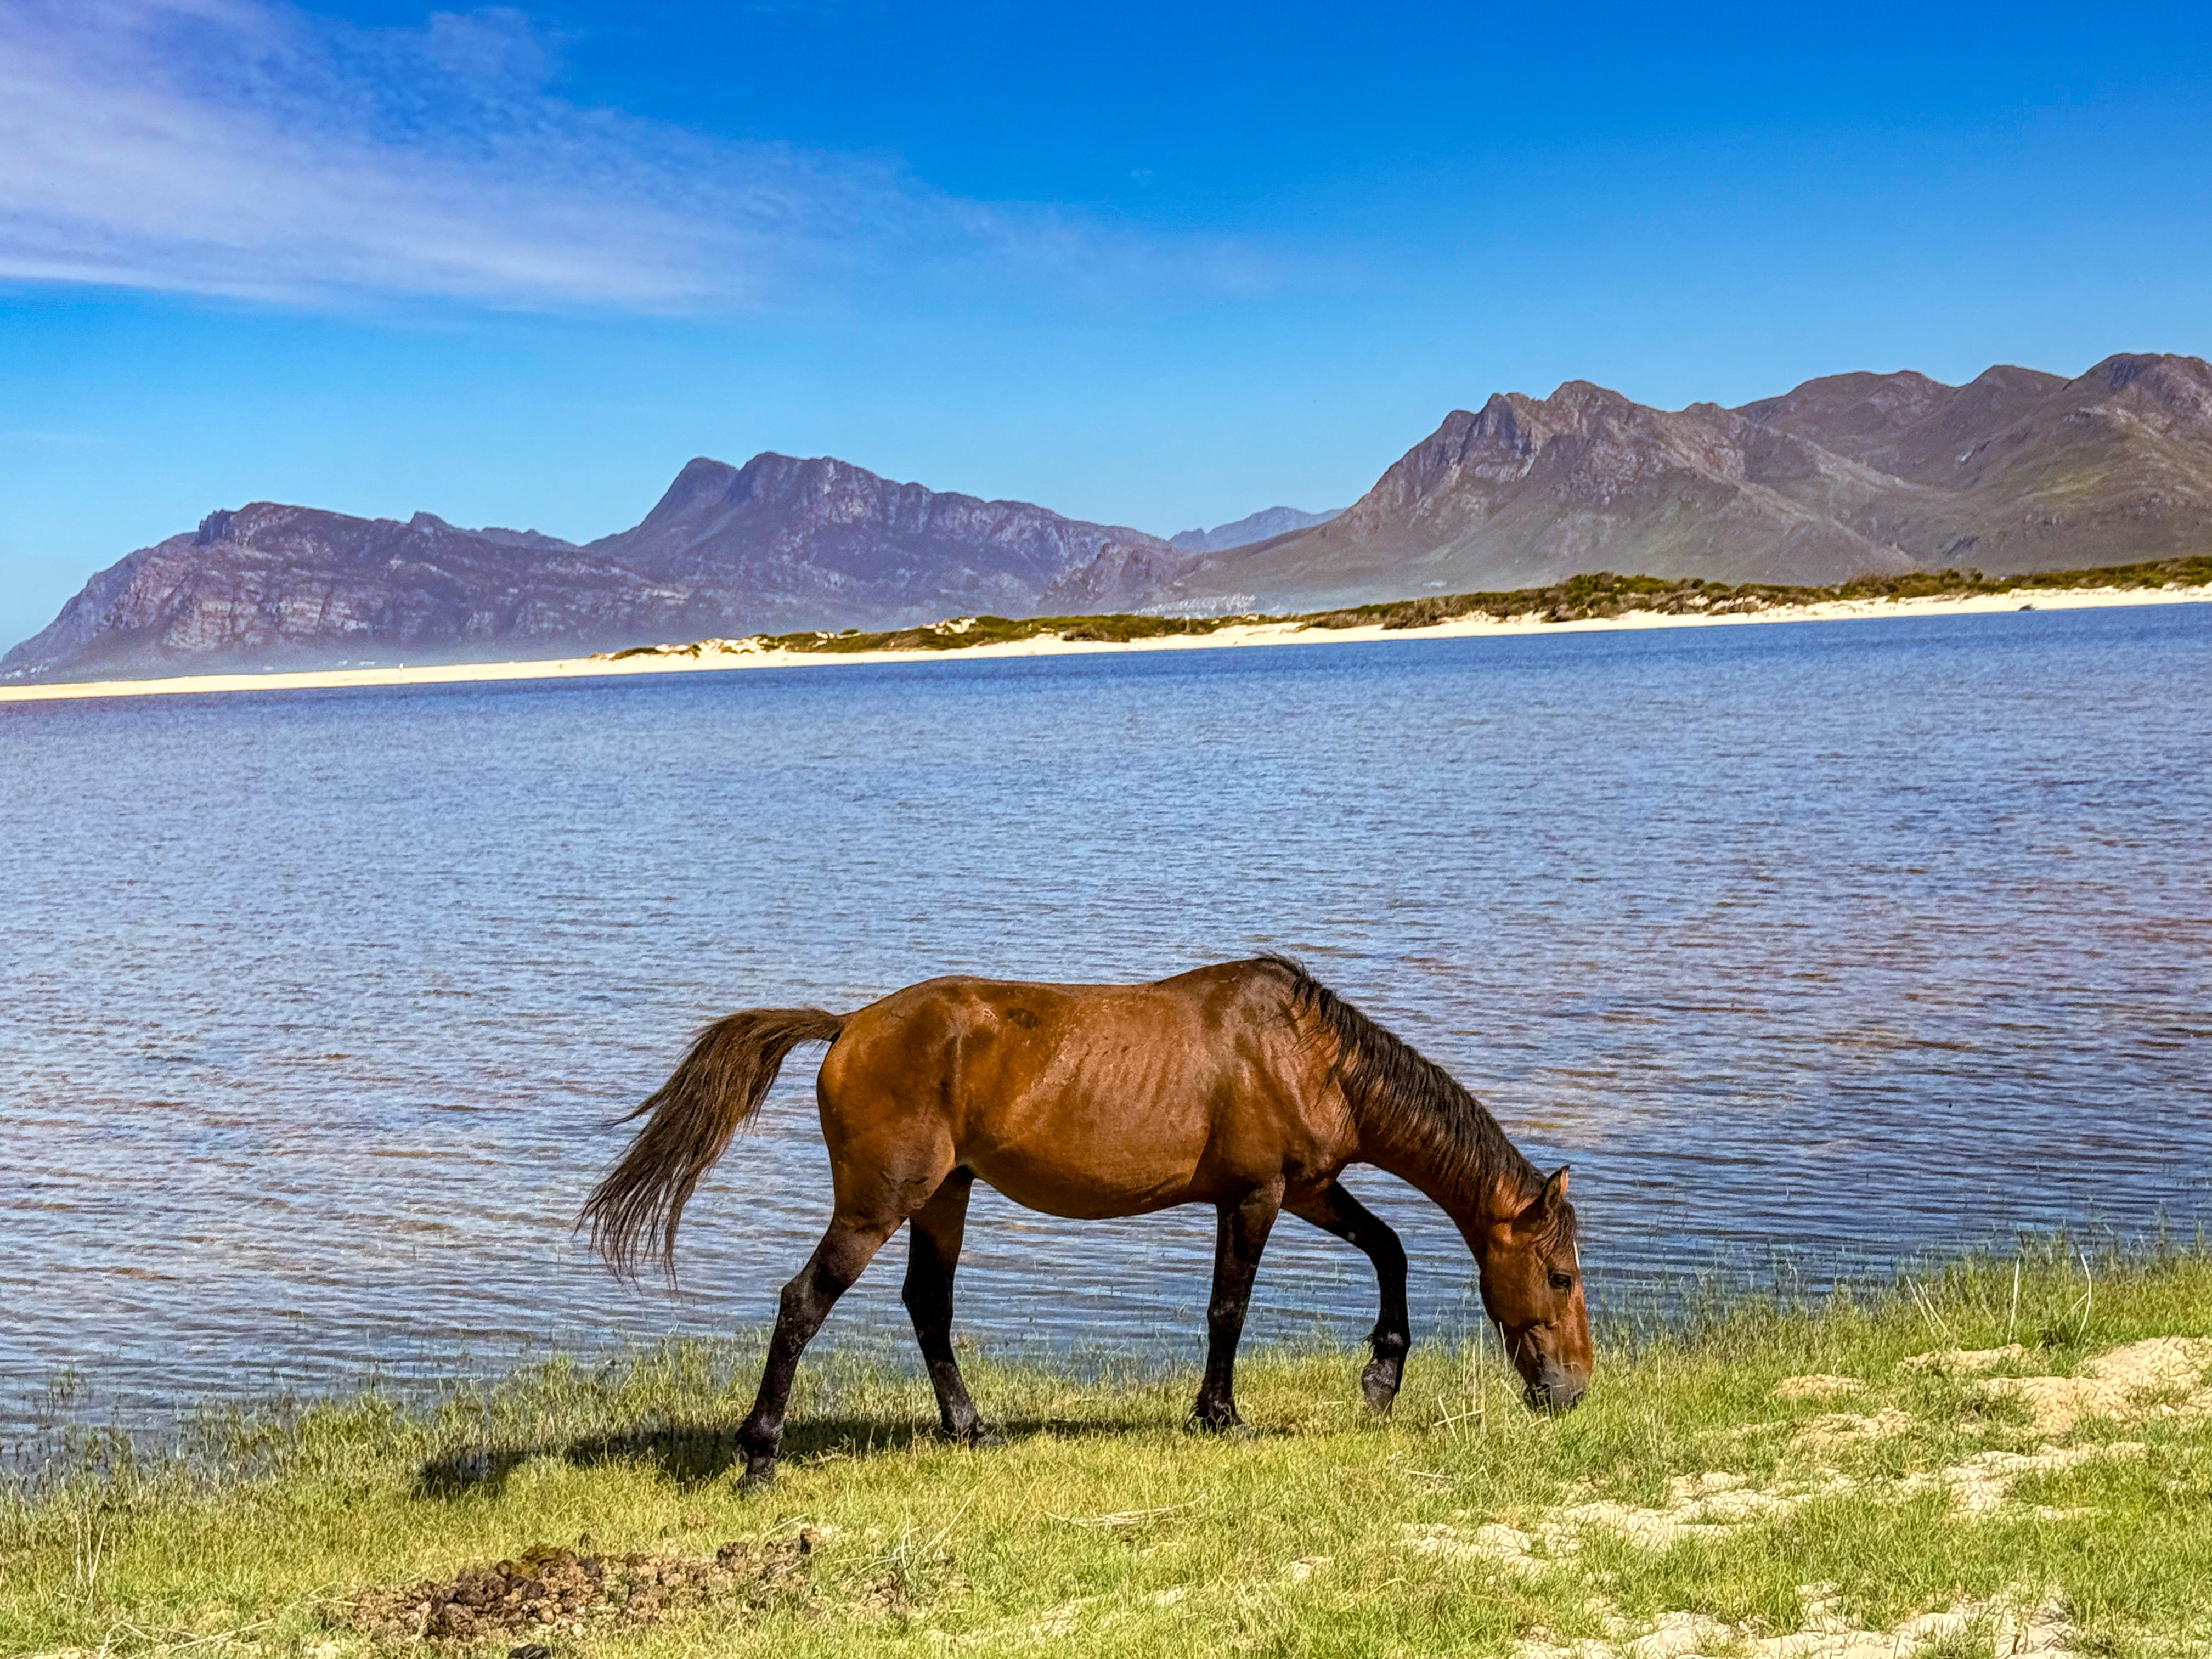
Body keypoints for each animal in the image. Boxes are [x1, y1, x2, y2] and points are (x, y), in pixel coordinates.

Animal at [582, 955, 1590, 1489]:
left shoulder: (1307, 1188)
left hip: (946, 1194)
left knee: (927, 1306)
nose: (1572, 1390)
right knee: (803, 1301)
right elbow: (1228, 1310)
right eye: (1561, 1275)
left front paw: (1380, 1377)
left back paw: (969, 1428)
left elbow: (1389, 1247)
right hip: (880, 1202)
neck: (1310, 1054)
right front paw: (1221, 1416)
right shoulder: (1256, 1195)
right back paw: (760, 1456)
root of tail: (848, 1025)